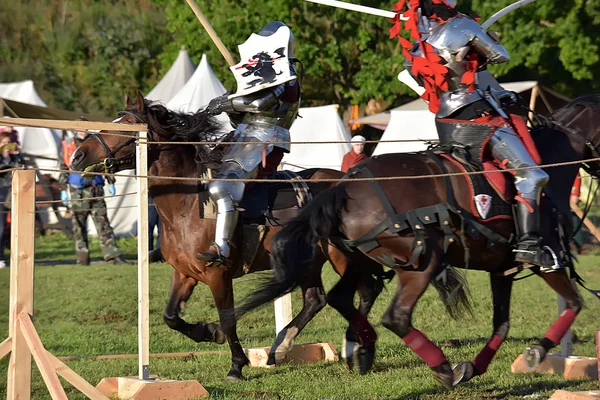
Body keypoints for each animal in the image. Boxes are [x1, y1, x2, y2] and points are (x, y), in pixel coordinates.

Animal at [70, 91, 386, 382]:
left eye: (125, 127)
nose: (77, 156)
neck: (187, 204)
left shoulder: (217, 274)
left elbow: (228, 317)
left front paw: (236, 364)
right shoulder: (185, 274)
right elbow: (171, 317)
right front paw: (206, 333)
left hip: (341, 256)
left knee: (364, 291)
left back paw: (358, 350)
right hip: (311, 259)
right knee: (316, 299)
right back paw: (282, 347)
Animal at [236, 94, 600, 388]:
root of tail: (343, 187)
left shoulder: (503, 270)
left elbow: (502, 324)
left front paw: (476, 367)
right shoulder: (547, 262)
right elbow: (574, 303)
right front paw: (537, 351)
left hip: (359, 260)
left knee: (342, 297)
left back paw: (361, 347)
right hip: (422, 262)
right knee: (394, 316)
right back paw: (440, 368)